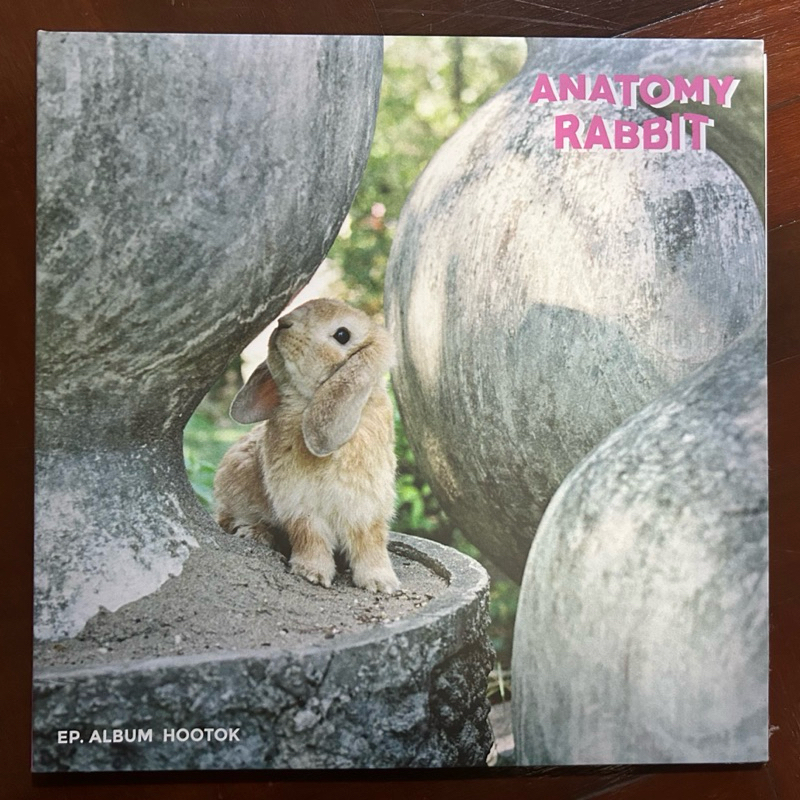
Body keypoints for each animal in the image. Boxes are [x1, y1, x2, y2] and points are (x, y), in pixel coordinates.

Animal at [213, 298, 400, 593]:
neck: (308, 403)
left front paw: (380, 582)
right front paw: (312, 573)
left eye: (342, 335)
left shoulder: (366, 506)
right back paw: (254, 532)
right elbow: (309, 536)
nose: (283, 323)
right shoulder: (300, 505)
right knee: (227, 518)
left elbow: (369, 541)